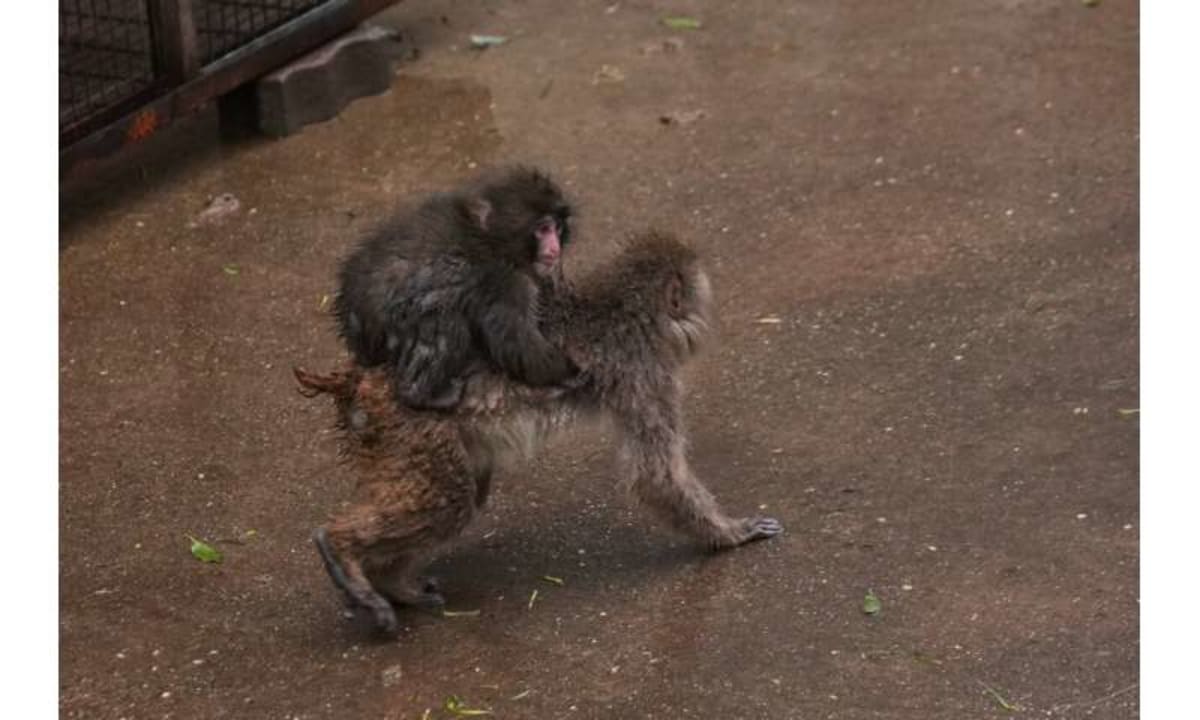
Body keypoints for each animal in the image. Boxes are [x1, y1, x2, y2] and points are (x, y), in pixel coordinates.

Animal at [298, 231, 783, 635]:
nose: (705, 315)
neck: (621, 311)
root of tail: (359, 378)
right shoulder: (644, 372)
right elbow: (656, 476)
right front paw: (729, 533)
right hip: (409, 428)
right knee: (450, 501)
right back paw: (342, 549)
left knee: (465, 493)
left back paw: (390, 581)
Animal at [333, 166, 579, 411]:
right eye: (543, 229)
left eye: (556, 228)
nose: (554, 247)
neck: (490, 239)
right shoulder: (506, 281)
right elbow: (518, 344)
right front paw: (568, 373)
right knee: (446, 322)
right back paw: (421, 394)